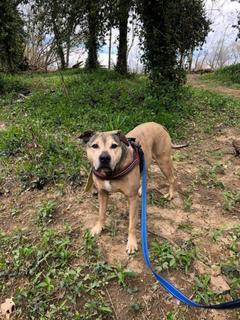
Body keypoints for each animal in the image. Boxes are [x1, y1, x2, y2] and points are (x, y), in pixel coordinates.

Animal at [79, 123, 185, 255]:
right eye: (94, 146)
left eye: (114, 146)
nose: (104, 157)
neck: (111, 173)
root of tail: (159, 125)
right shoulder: (102, 194)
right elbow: (101, 213)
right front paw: (98, 228)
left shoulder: (132, 199)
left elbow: (132, 224)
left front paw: (131, 243)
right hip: (147, 161)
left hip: (163, 161)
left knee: (172, 179)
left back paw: (170, 194)